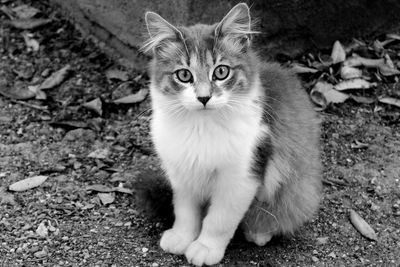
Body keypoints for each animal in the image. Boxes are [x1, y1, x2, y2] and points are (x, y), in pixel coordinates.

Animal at [141, 2, 322, 267]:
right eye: (184, 75)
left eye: (221, 72)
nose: (204, 98)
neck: (201, 128)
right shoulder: (182, 174)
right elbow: (185, 212)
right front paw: (181, 237)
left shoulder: (241, 178)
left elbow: (219, 220)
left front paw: (205, 248)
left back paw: (259, 231)